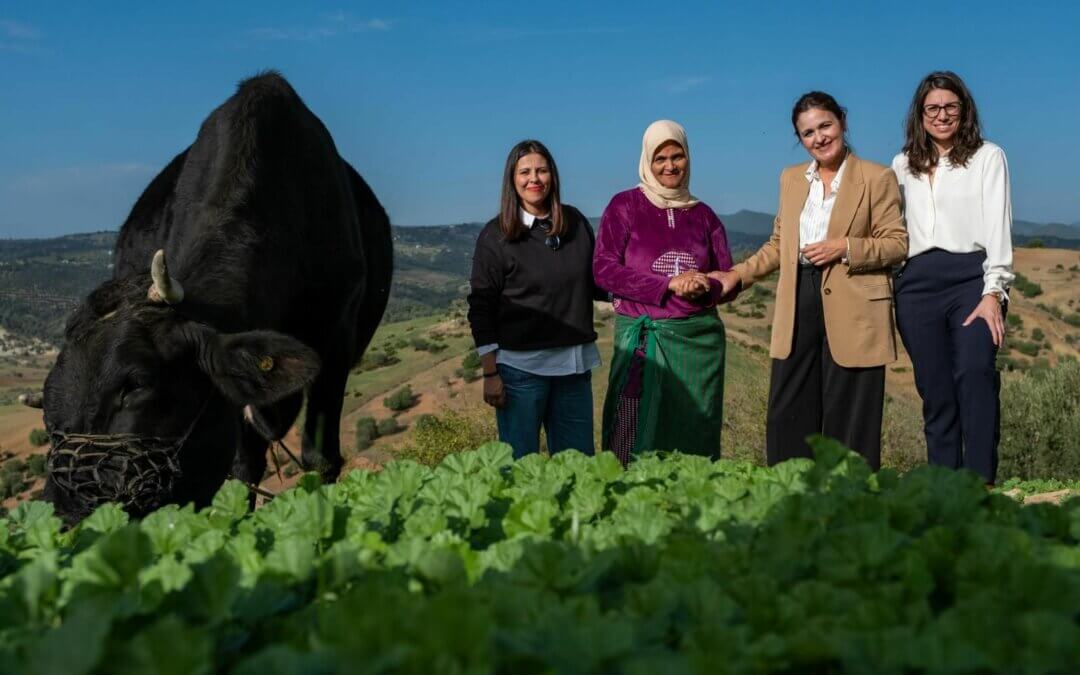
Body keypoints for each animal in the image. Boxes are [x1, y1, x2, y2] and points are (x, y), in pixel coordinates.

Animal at [33, 73, 397, 524]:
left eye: (137, 384)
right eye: (47, 408)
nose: (61, 517)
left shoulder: (336, 336)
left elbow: (320, 457)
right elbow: (241, 469)